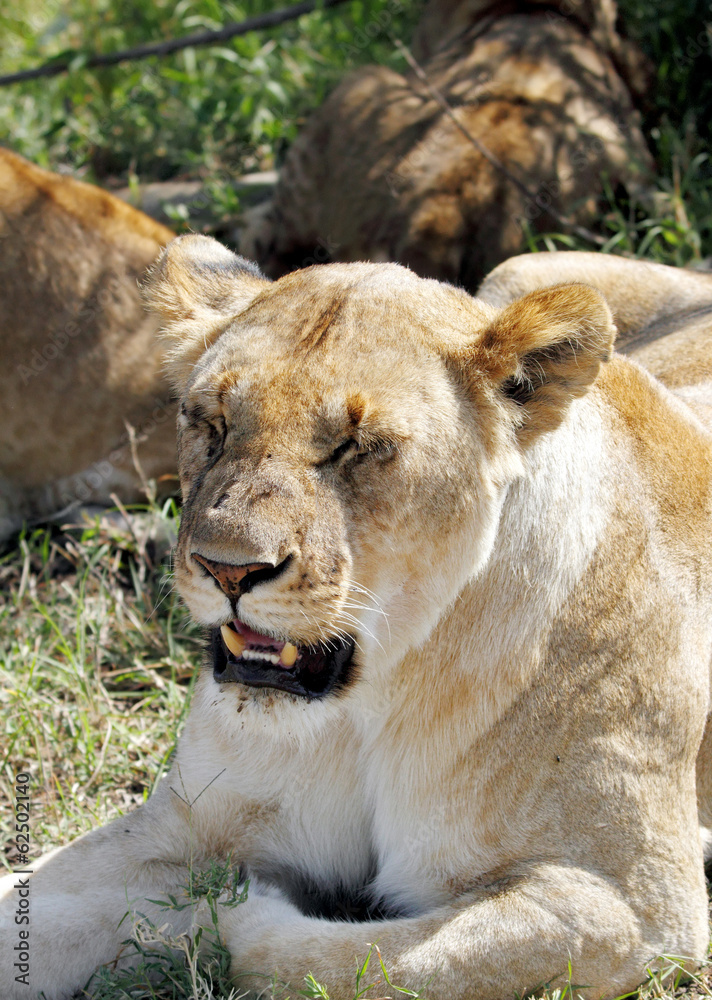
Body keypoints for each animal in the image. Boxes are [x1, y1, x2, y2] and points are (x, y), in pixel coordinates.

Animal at [2, 237, 712, 1000]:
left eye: (357, 446)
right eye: (212, 423)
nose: (228, 569)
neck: (369, 701)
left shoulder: (636, 905)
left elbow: (369, 965)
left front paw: (230, 910)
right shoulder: (184, 824)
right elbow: (31, 905)